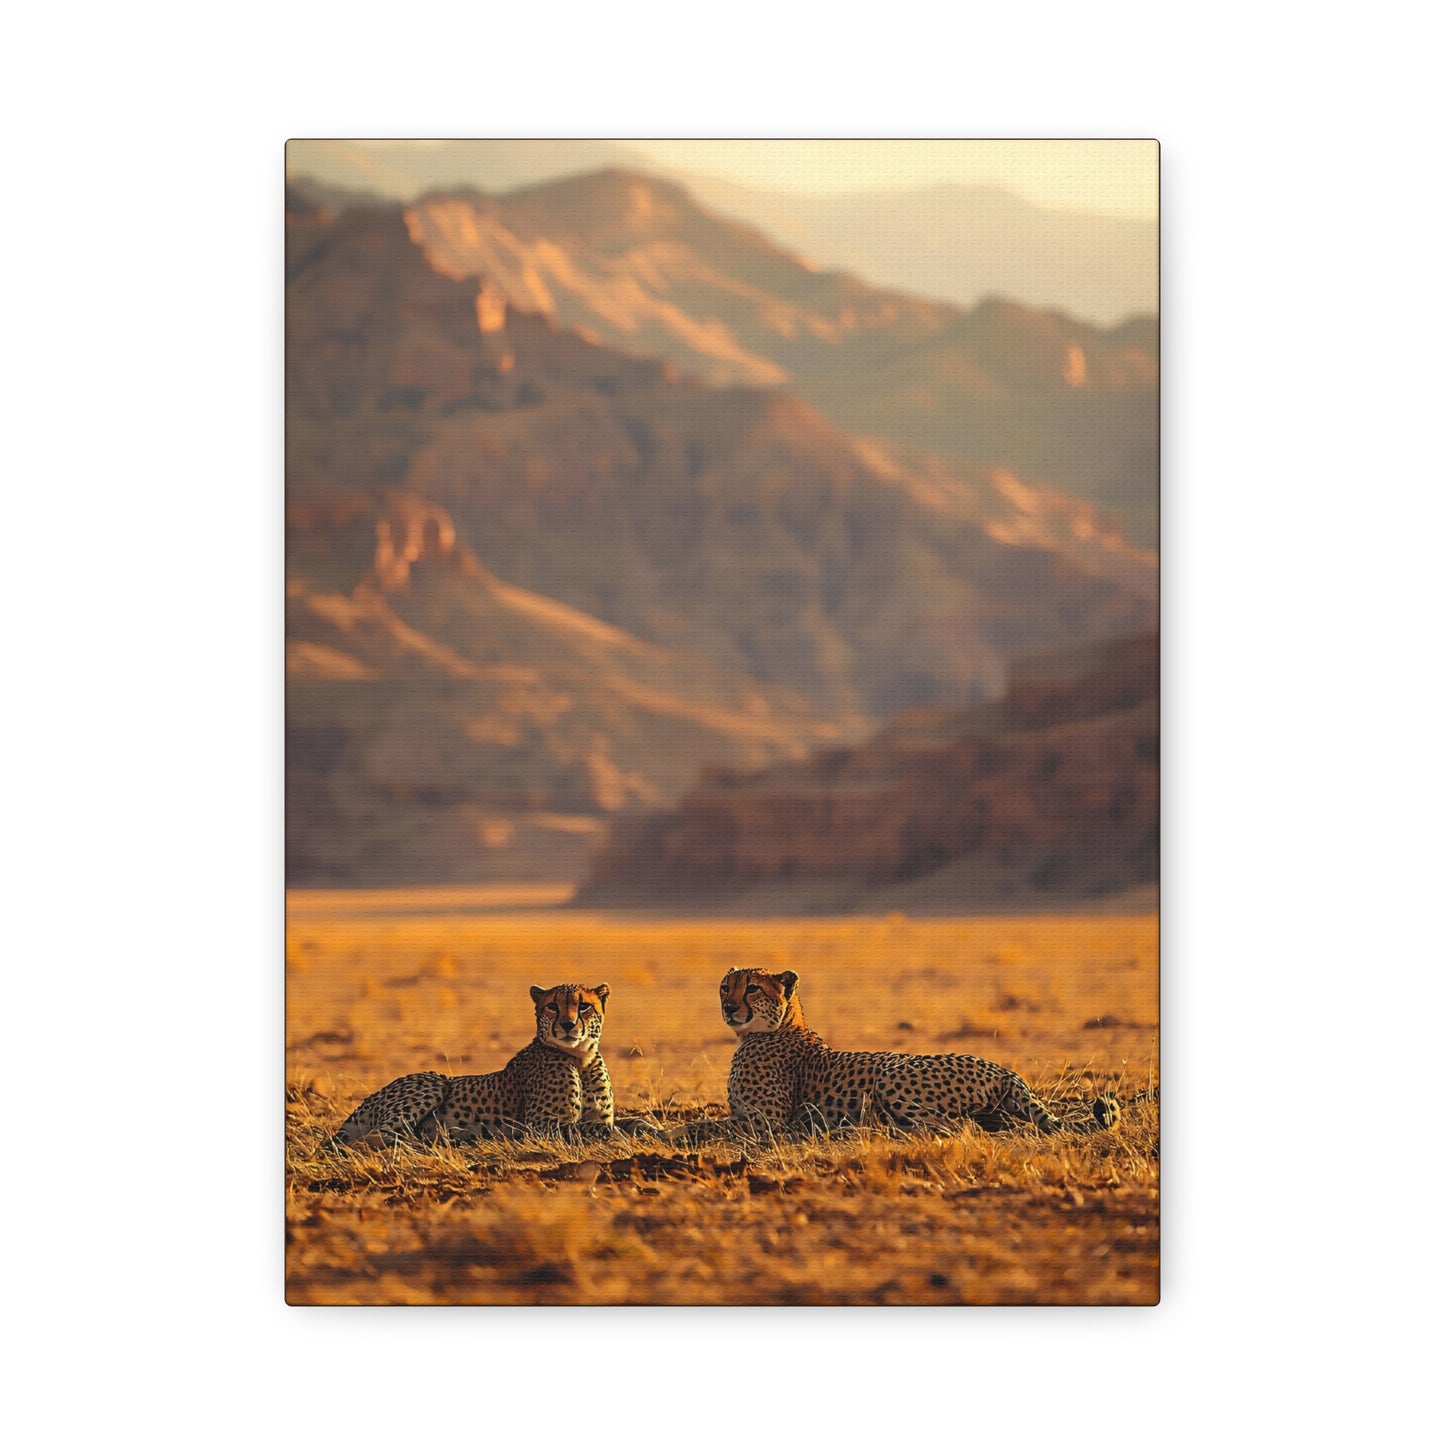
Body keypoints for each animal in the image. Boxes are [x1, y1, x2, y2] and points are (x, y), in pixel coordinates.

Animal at [327, 983, 613, 1148]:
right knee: (376, 1136)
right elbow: (595, 1128)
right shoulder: (542, 1127)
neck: (579, 1058)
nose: (567, 1025)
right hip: (434, 1081)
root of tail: (368, 1099)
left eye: (584, 1006)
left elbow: (609, 1123)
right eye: (553, 1006)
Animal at [719, 967, 1120, 1137]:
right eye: (726, 986)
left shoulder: (766, 1122)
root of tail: (1001, 1068)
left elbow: (711, 1126)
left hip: (891, 1073)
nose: (729, 1008)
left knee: (957, 1127)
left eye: (752, 988)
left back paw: (869, 1130)